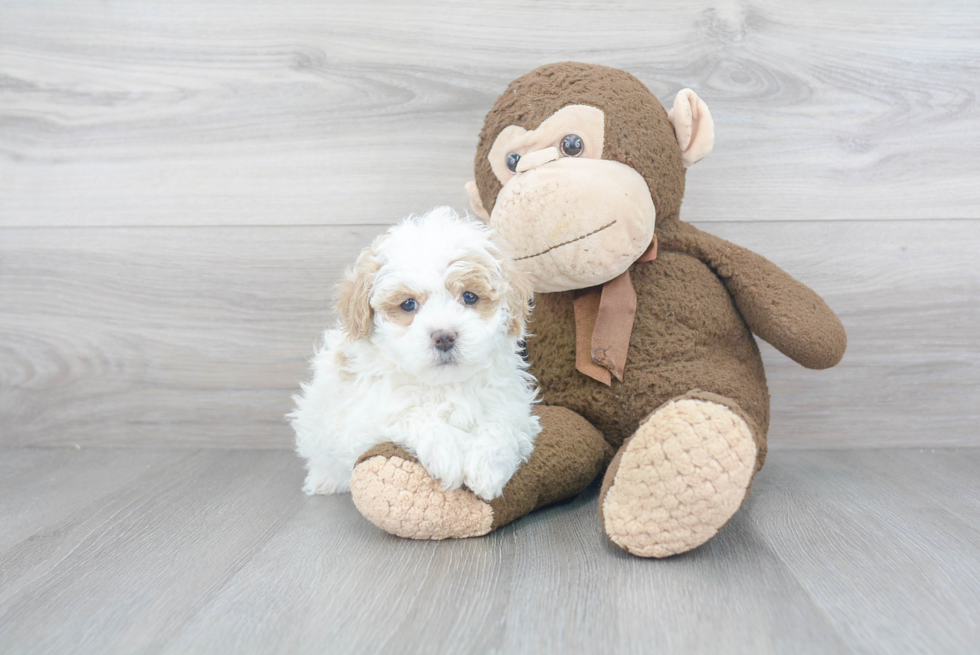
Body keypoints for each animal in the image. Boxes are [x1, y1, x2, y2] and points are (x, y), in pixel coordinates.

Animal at [290, 208, 540, 500]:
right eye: (408, 304)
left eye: (469, 297)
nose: (444, 337)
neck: (445, 385)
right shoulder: (362, 419)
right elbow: (412, 415)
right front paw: (450, 453)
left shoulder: (511, 404)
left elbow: (502, 423)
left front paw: (487, 468)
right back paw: (324, 480)